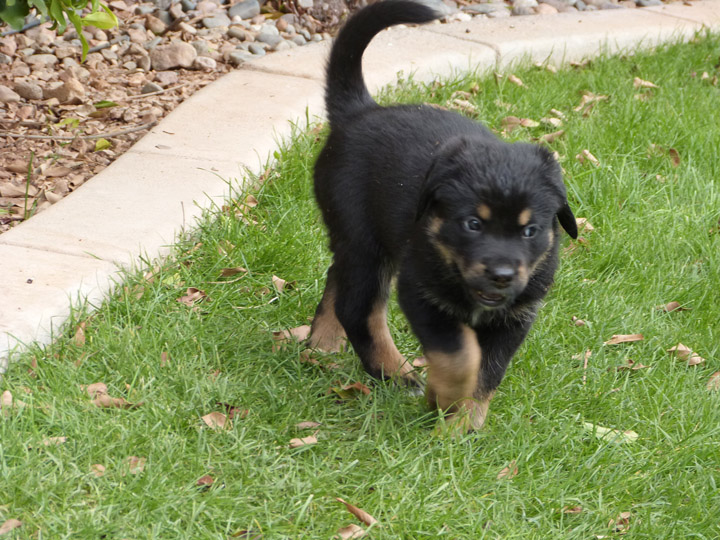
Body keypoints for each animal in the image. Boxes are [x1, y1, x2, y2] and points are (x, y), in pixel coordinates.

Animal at [306, 0, 576, 430]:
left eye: (530, 230)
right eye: (473, 224)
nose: (501, 275)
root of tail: (360, 111)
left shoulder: (516, 315)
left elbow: (488, 370)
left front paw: (464, 424)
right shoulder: (421, 292)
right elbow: (460, 355)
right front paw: (445, 397)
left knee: (338, 278)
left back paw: (323, 341)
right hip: (364, 240)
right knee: (359, 309)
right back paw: (396, 374)